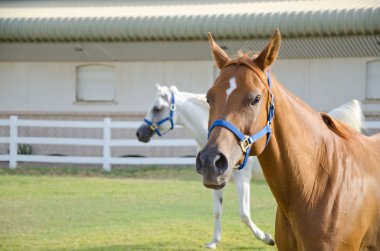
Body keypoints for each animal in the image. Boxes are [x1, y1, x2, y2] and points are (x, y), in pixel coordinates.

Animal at [135, 84, 364, 247]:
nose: (139, 133)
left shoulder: (242, 180)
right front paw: (214, 242)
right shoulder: (216, 181)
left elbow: (244, 214)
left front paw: (267, 238)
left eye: (157, 108)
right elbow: (217, 211)